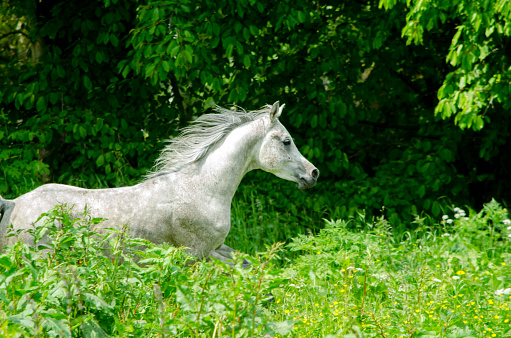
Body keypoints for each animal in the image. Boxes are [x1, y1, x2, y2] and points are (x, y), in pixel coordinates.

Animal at [0, 101, 320, 262]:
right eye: (287, 141)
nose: (313, 174)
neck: (201, 188)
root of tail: (14, 203)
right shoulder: (196, 253)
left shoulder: (215, 248)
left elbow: (245, 263)